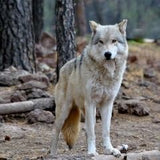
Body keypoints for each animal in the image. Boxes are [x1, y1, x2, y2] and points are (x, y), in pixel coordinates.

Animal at [50, 19, 129, 156]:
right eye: (101, 41)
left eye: (114, 41)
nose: (107, 54)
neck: (106, 74)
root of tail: (63, 67)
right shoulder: (91, 103)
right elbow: (92, 132)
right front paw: (92, 152)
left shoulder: (107, 104)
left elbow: (106, 131)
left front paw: (110, 149)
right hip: (64, 112)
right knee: (56, 132)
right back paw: (52, 154)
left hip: (86, 111)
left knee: (87, 130)